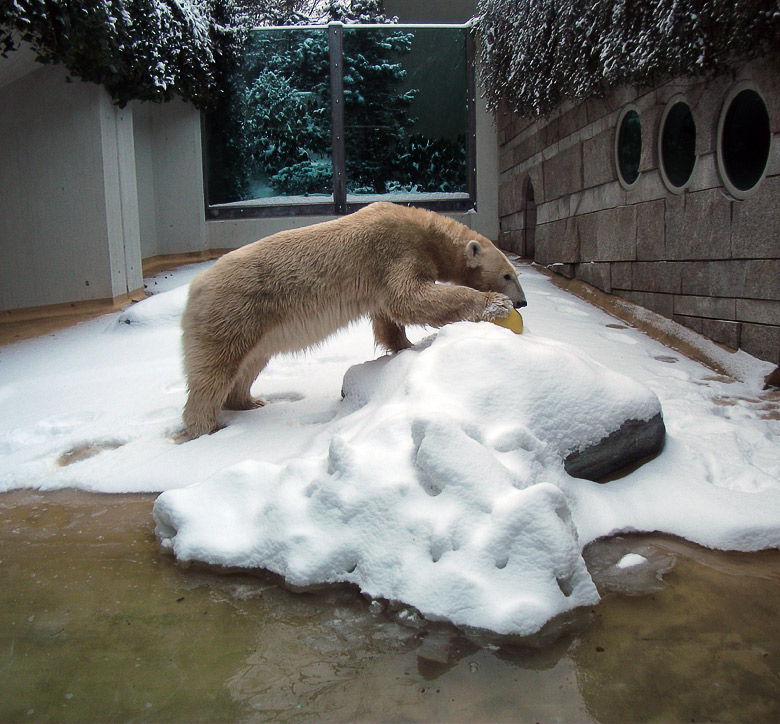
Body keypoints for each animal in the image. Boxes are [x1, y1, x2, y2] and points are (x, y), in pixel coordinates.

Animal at [180, 202, 528, 436]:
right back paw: (205, 427)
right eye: (507, 275)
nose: (523, 301)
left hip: (255, 326)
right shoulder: (395, 250)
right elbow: (409, 297)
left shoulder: (381, 277)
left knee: (249, 364)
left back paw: (250, 402)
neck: (424, 231)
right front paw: (495, 305)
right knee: (213, 372)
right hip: (233, 311)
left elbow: (388, 316)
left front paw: (404, 347)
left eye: (516, 273)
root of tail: (195, 285)